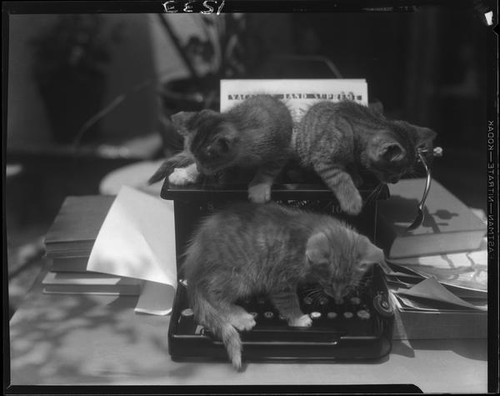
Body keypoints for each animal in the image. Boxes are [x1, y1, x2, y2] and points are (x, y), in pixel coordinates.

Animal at [150, 94, 294, 203]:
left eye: (205, 164)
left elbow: (268, 169)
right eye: (196, 160)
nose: (198, 168)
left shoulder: (281, 149)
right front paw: (188, 173)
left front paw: (259, 187)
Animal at [182, 203, 384, 370]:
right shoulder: (280, 280)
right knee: (213, 295)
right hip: (238, 276)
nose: (338, 297)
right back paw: (240, 316)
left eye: (349, 286)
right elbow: (287, 302)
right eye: (329, 283)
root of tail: (193, 262)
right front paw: (298, 318)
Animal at [294, 100, 436, 215]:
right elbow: (340, 178)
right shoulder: (324, 159)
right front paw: (352, 201)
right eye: (395, 172)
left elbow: (350, 166)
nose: (395, 181)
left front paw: (355, 176)